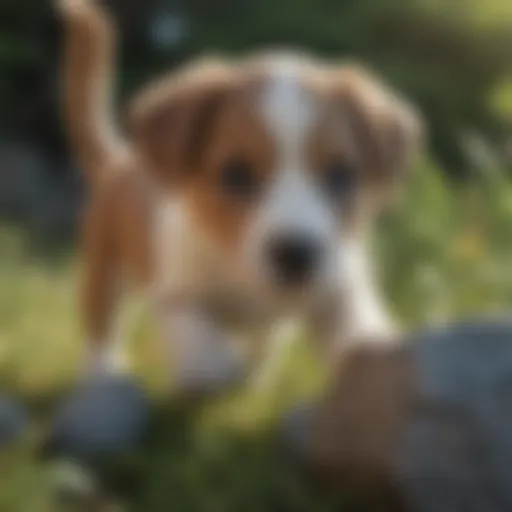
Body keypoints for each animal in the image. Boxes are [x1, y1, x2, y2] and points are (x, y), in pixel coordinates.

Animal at [58, 0, 422, 392]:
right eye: (236, 173)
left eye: (341, 173)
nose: (296, 254)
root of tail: (120, 158)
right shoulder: (174, 292)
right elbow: (198, 331)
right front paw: (214, 366)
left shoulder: (339, 289)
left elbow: (359, 331)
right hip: (103, 275)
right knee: (101, 333)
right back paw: (103, 375)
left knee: (266, 343)